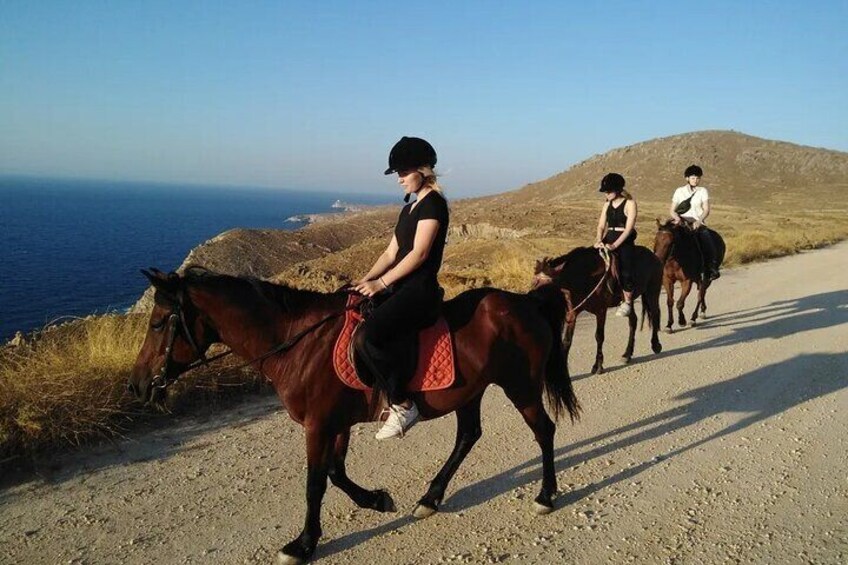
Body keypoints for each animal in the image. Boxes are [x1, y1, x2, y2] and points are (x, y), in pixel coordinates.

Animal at [127, 266, 576, 560]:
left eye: (157, 322)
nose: (137, 386)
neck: (298, 343)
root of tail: (526, 302)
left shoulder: (319, 425)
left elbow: (315, 483)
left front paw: (304, 543)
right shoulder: (334, 423)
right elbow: (335, 473)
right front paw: (377, 500)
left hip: (520, 386)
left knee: (544, 431)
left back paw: (545, 495)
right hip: (471, 391)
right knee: (468, 436)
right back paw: (430, 498)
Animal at [528, 245, 664, 376]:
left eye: (546, 287)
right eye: (533, 283)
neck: (585, 277)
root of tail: (655, 257)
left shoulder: (601, 311)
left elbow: (599, 336)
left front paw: (598, 366)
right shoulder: (572, 313)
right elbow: (566, 341)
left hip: (652, 291)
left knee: (655, 314)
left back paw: (656, 345)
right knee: (633, 321)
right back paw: (627, 354)